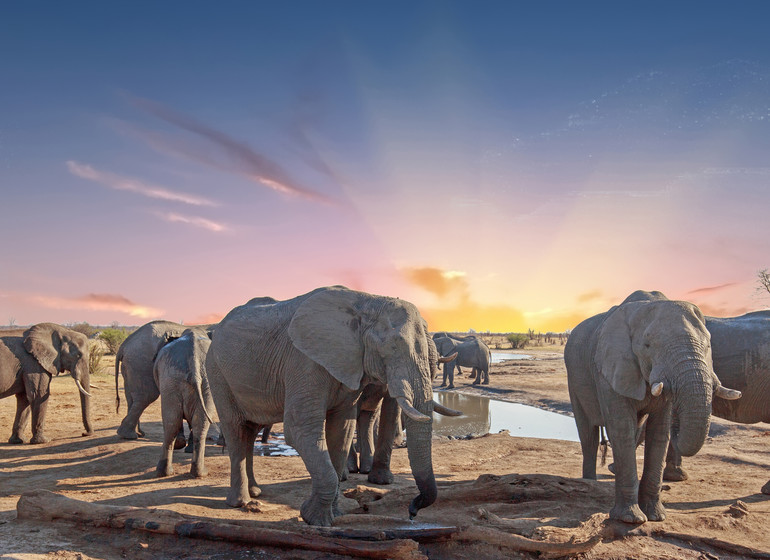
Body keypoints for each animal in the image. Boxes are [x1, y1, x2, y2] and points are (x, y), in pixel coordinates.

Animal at [206, 286, 456, 528]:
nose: (412, 511)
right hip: (217, 372)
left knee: (251, 429)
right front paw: (314, 518)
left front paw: (333, 515)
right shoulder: (304, 361)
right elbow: (300, 429)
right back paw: (240, 502)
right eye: (393, 347)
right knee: (236, 430)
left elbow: (341, 431)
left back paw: (255, 492)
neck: (367, 301)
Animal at [564, 290, 736, 524]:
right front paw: (630, 519)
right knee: (588, 435)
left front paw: (656, 516)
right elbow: (621, 430)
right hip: (574, 380)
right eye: (648, 346)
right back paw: (590, 483)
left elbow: (659, 432)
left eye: (708, 345)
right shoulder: (608, 368)